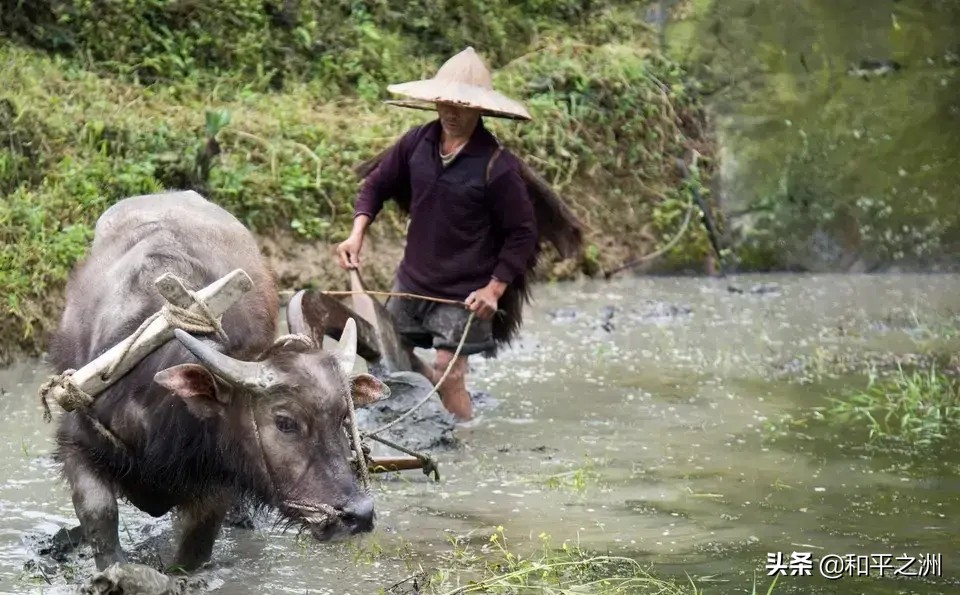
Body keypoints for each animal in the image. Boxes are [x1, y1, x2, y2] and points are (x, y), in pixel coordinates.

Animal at [47, 191, 388, 572]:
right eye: (285, 422)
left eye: (344, 418)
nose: (359, 514)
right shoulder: (75, 442)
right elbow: (100, 513)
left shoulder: (219, 479)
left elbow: (195, 547)